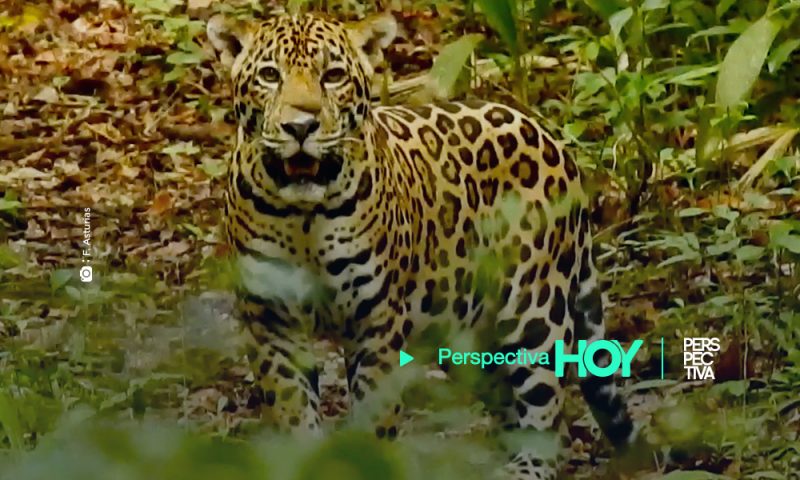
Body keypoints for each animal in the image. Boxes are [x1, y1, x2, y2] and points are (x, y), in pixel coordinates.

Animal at [207, 11, 636, 479]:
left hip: (533, 310)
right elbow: (293, 412)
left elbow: (374, 419)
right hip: (467, 334)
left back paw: (524, 467)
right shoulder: (272, 325)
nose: (300, 127)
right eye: (270, 75)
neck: (305, 217)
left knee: (545, 411)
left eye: (333, 75)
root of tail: (549, 135)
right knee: (505, 400)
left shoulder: (375, 326)